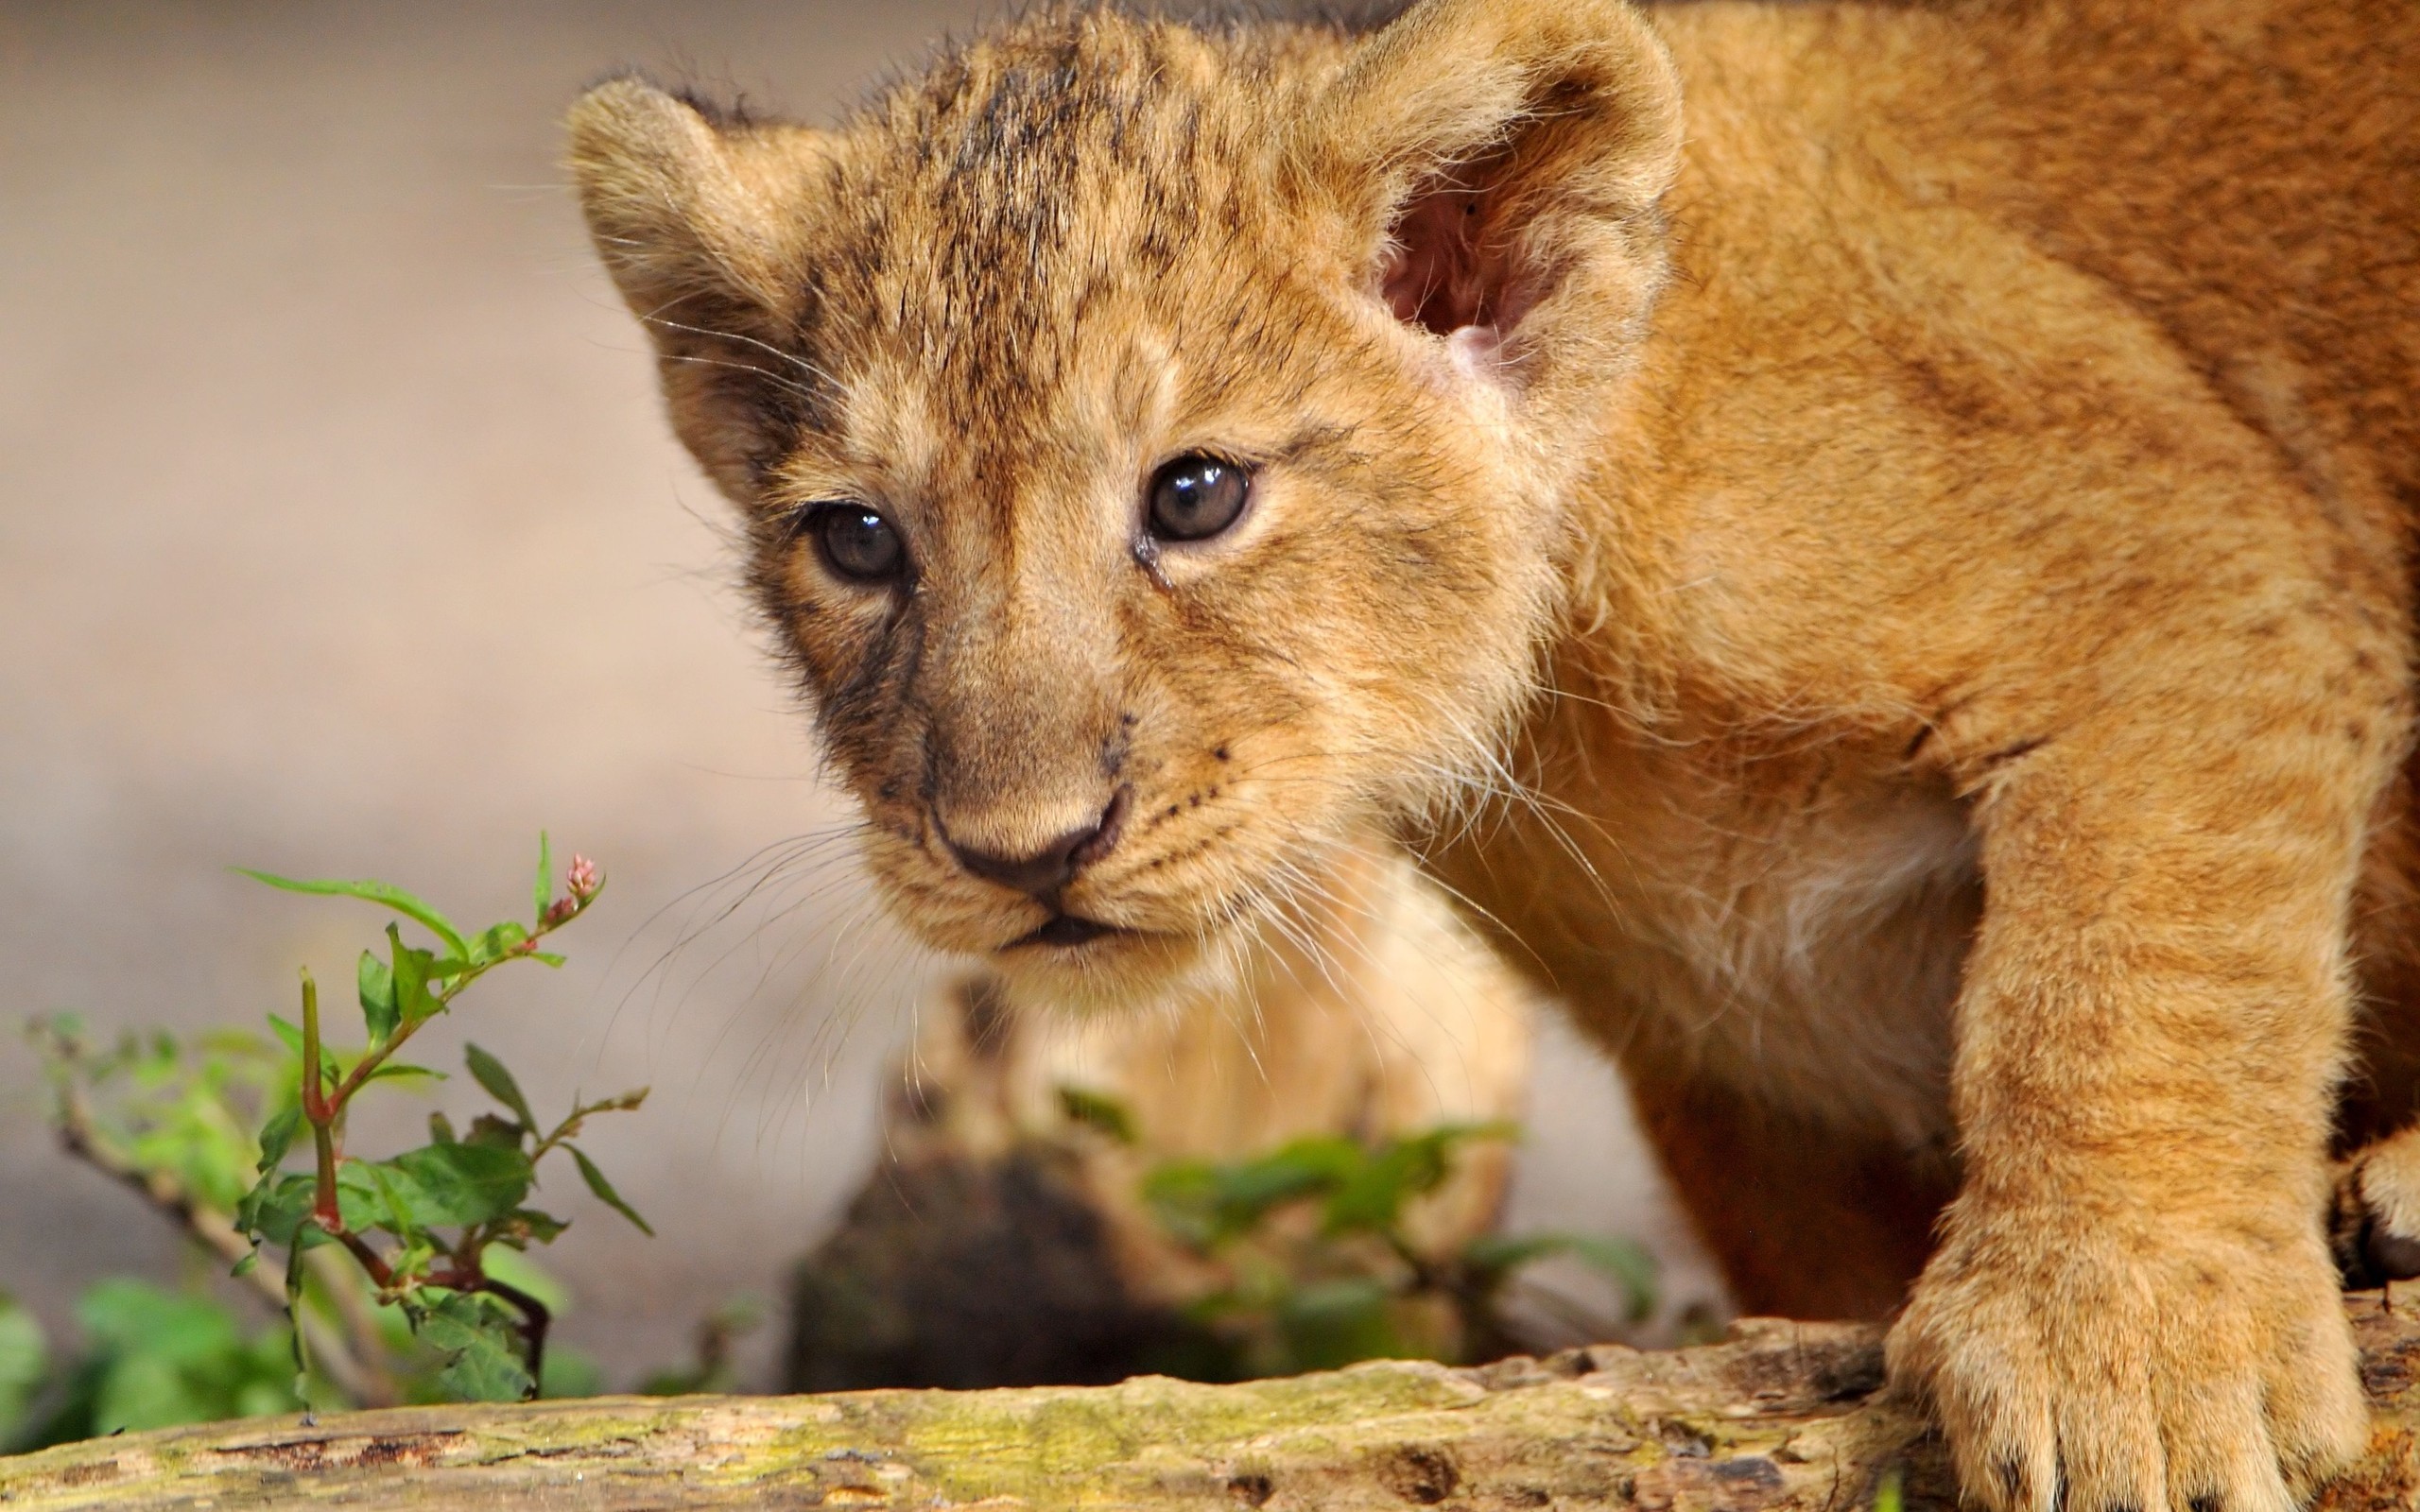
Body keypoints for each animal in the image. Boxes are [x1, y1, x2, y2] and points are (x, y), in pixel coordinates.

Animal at [567, 0, 2420, 1506]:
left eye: (1194, 494)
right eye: (860, 542)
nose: (1021, 850)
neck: (1567, 698)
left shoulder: (2192, 549)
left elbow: (2128, 972)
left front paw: (2128, 1365)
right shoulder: (1747, 1076)